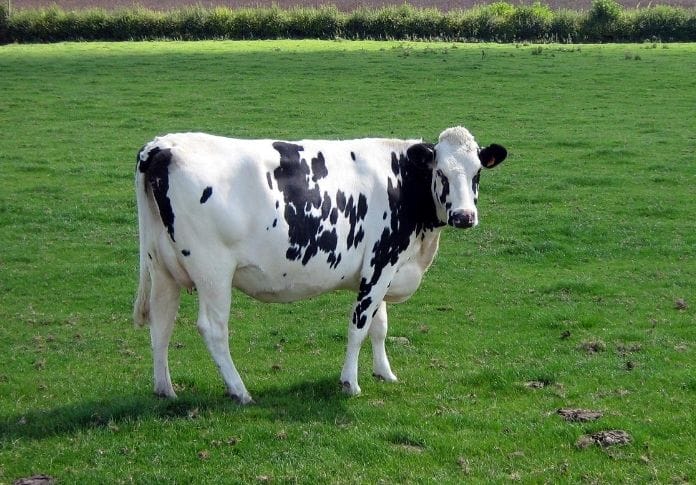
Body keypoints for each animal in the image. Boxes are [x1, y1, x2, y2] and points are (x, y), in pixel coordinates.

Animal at [133, 126, 507, 404]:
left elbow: (380, 326)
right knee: (212, 329)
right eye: (441, 173)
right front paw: (350, 383)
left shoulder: (385, 267)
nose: (464, 216)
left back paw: (165, 390)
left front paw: (385, 373)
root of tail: (163, 146)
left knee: (161, 324)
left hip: (162, 268)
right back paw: (240, 391)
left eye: (477, 174)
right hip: (213, 271)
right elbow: (359, 326)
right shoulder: (380, 262)